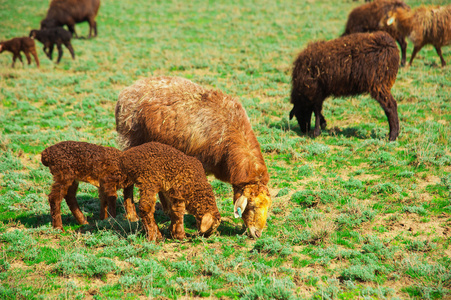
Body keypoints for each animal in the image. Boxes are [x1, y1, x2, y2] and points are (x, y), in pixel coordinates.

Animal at [116, 77, 272, 239]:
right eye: (252, 206)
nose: (258, 234)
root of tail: (128, 91)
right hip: (131, 142)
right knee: (128, 182)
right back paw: (132, 216)